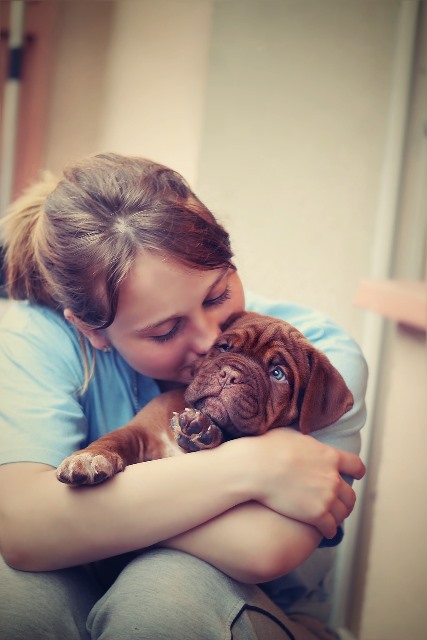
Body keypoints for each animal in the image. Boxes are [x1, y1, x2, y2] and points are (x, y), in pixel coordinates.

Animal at [56, 312, 354, 484]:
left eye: (278, 373)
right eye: (224, 347)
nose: (230, 374)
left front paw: (201, 431)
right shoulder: (139, 430)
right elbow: (113, 439)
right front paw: (90, 457)